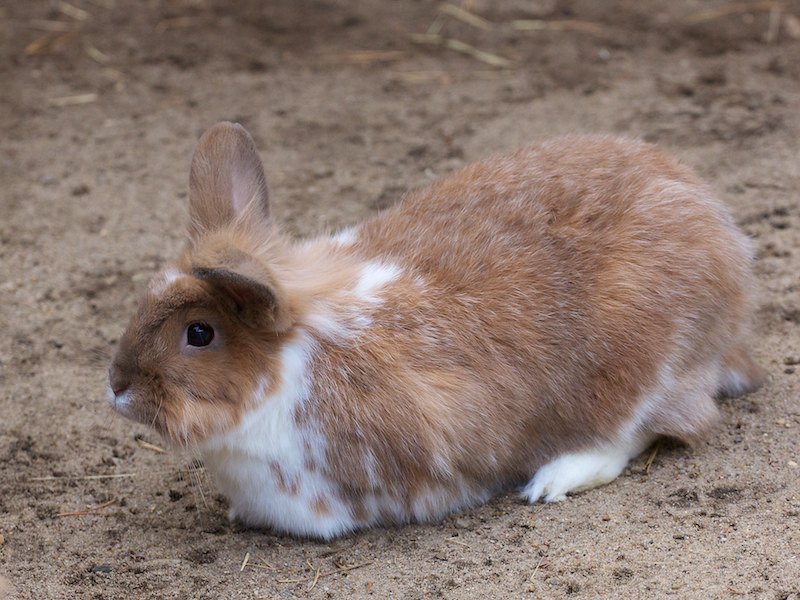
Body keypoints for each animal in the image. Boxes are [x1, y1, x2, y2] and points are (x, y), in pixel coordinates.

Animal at [108, 122, 764, 539]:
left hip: (641, 362)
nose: (116, 386)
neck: (290, 364)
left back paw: (552, 480)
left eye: (199, 333)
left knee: (648, 426)